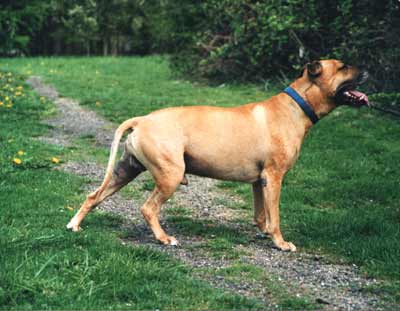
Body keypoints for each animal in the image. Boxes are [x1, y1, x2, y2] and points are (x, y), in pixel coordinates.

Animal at [66, 59, 368, 252]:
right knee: (148, 208)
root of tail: (143, 119)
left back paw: (74, 225)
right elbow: (276, 216)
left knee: (94, 196)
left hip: (125, 170)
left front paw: (264, 232)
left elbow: (262, 214)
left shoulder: (259, 181)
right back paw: (164, 239)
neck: (297, 106)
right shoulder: (274, 177)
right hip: (170, 175)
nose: (367, 70)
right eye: (342, 67)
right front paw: (281, 243)